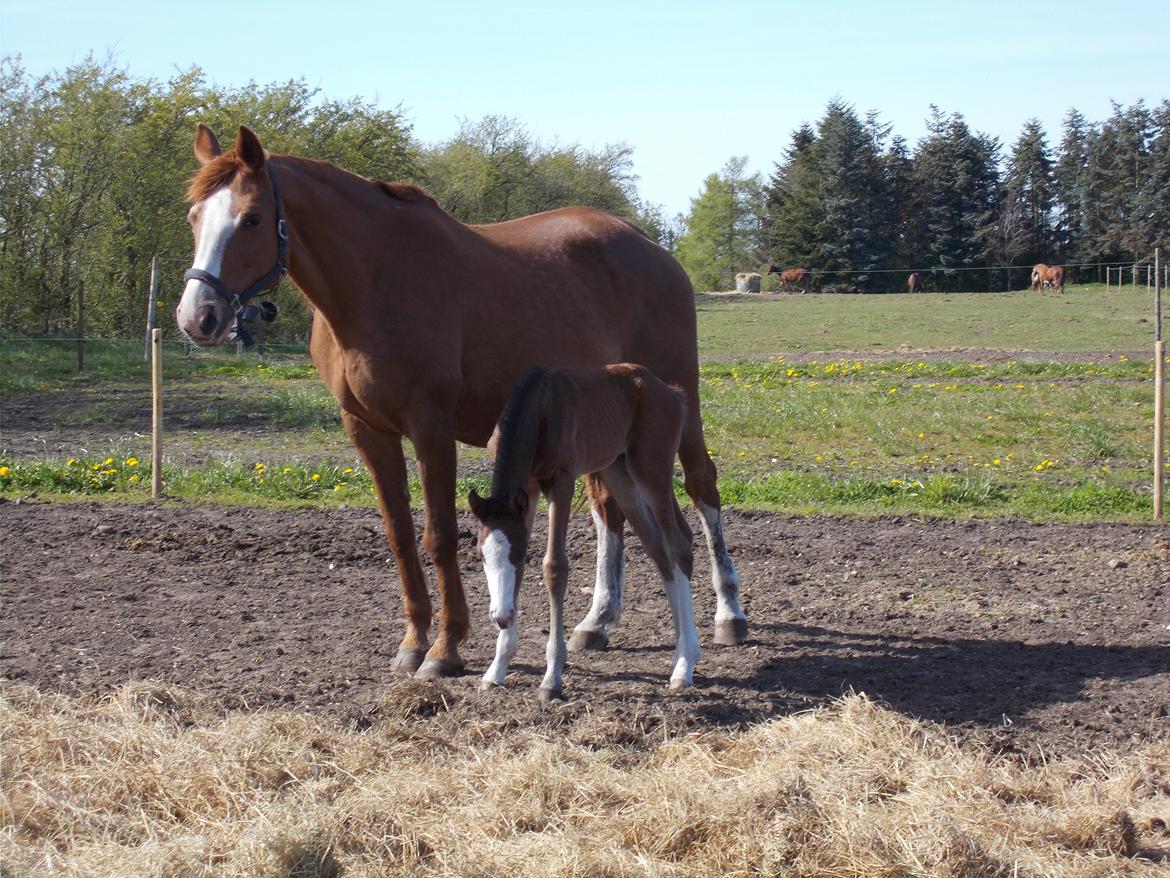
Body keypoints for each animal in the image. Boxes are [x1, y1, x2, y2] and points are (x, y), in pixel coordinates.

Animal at [470, 365, 697, 702]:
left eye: (520, 553)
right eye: (480, 556)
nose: (500, 616)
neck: (540, 405)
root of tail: (671, 392)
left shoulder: (561, 480)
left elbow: (554, 567)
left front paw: (552, 679)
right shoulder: (530, 488)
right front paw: (496, 670)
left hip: (651, 471)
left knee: (679, 543)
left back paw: (685, 664)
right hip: (619, 471)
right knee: (658, 548)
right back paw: (678, 656)